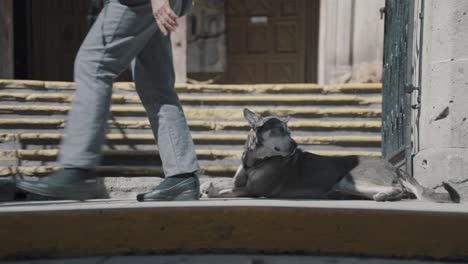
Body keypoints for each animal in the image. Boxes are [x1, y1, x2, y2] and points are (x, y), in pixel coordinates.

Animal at [199, 107, 458, 202]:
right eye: (279, 130)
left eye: (288, 131)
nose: (295, 145)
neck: (255, 161)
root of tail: (393, 166)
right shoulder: (241, 180)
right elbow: (223, 182)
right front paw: (206, 185)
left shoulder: (255, 190)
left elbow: (226, 190)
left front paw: (210, 192)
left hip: (351, 178)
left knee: (399, 190)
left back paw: (383, 196)